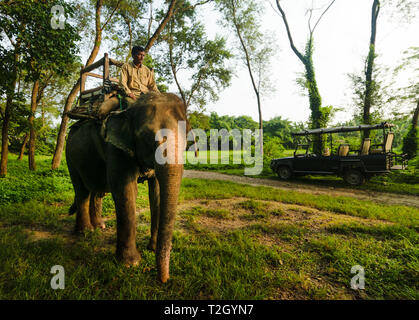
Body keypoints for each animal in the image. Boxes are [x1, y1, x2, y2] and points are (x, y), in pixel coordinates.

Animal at [66, 92, 189, 282]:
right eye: (146, 135)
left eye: (187, 138)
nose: (163, 279)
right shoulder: (116, 147)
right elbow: (125, 189)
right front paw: (130, 264)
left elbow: (157, 193)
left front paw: (152, 248)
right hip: (70, 157)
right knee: (82, 191)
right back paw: (85, 232)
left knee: (97, 190)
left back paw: (99, 227)